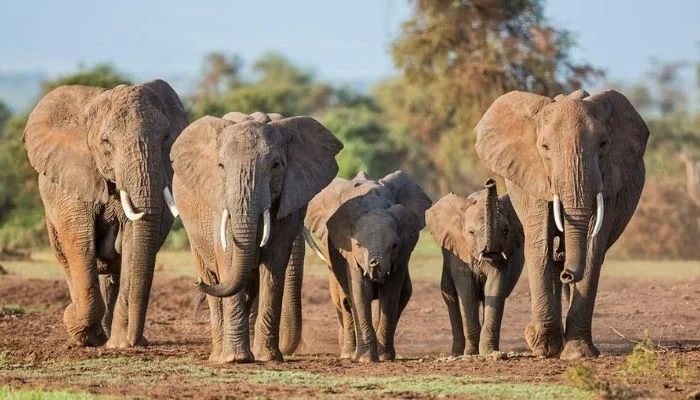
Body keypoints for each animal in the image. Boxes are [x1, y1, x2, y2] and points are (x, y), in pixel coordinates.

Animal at [23, 80, 188, 347]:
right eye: (106, 142)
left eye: (166, 137)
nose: (135, 342)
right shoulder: (73, 182)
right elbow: (80, 244)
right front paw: (78, 328)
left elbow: (133, 245)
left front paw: (120, 345)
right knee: (69, 262)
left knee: (114, 272)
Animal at [171, 111, 342, 363]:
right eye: (221, 166)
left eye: (276, 166)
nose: (196, 283)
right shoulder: (218, 201)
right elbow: (228, 258)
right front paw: (237, 359)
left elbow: (274, 264)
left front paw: (268, 358)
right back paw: (218, 355)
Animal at [304, 171, 432, 362]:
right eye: (357, 245)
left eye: (394, 245)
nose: (374, 265)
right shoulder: (349, 253)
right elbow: (359, 291)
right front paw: (366, 359)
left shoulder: (403, 251)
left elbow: (391, 294)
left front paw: (384, 357)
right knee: (344, 299)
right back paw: (348, 354)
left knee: (404, 293)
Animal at [426, 179, 524, 356]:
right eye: (471, 232)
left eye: (506, 231)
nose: (490, 182)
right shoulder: (459, 251)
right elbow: (466, 290)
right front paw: (471, 353)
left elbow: (494, 286)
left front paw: (489, 352)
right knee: (450, 295)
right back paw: (457, 352)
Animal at [474, 89, 649, 359]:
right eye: (545, 147)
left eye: (603, 144)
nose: (569, 274)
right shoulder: (534, 176)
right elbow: (539, 246)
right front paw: (542, 346)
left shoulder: (610, 179)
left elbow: (593, 249)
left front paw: (577, 353)